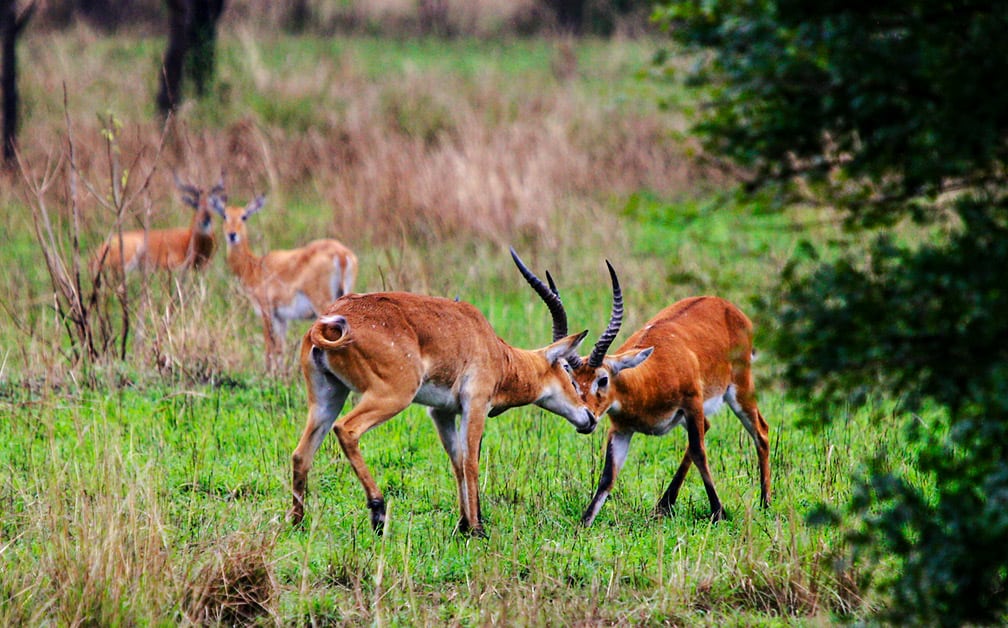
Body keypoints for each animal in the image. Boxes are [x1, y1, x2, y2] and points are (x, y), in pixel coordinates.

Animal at [208, 191, 358, 368]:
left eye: (243, 216)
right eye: (225, 215)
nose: (232, 235)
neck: (254, 266)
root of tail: (341, 254)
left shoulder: (266, 311)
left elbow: (269, 346)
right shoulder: (282, 318)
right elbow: (280, 348)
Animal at [288, 250, 592, 536]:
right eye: (568, 370)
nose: (589, 417)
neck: (495, 350)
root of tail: (328, 323)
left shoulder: (441, 412)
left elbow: (456, 461)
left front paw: (464, 524)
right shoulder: (475, 405)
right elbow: (470, 461)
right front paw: (478, 529)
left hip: (328, 397)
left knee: (301, 453)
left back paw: (298, 523)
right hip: (392, 396)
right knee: (346, 429)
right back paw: (378, 512)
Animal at [512, 254, 770, 524]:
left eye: (603, 379)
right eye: (572, 381)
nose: (588, 419)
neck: (646, 381)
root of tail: (726, 306)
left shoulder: (692, 404)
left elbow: (700, 452)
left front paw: (719, 512)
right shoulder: (621, 430)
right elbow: (608, 477)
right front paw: (583, 524)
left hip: (739, 389)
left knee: (761, 431)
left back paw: (765, 503)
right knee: (710, 429)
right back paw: (663, 505)